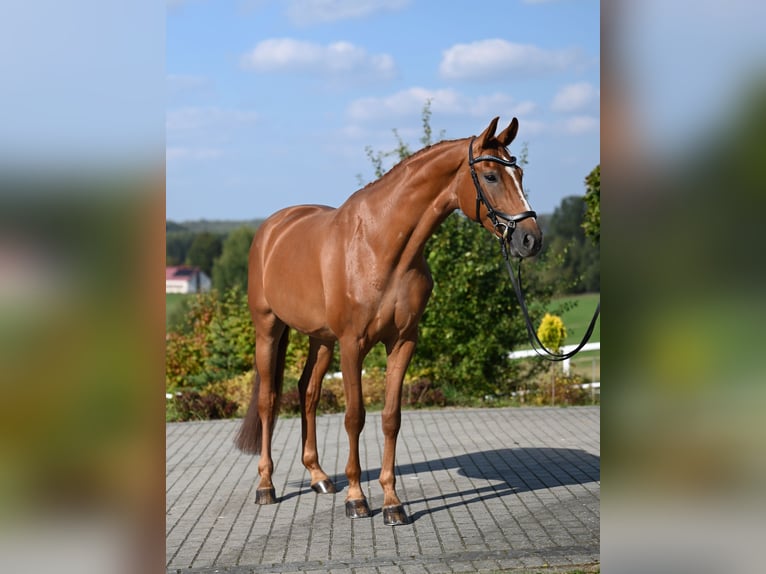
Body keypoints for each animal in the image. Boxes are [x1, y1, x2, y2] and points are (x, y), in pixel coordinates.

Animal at [237, 116, 544, 528]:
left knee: (308, 392)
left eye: (520, 173)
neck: (380, 245)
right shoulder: (353, 344)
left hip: (322, 339)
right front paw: (356, 499)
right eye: (491, 176)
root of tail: (273, 228)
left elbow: (390, 418)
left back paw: (319, 477)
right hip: (269, 329)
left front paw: (391, 503)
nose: (530, 239)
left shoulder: (402, 342)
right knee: (269, 401)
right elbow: (354, 417)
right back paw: (266, 487)